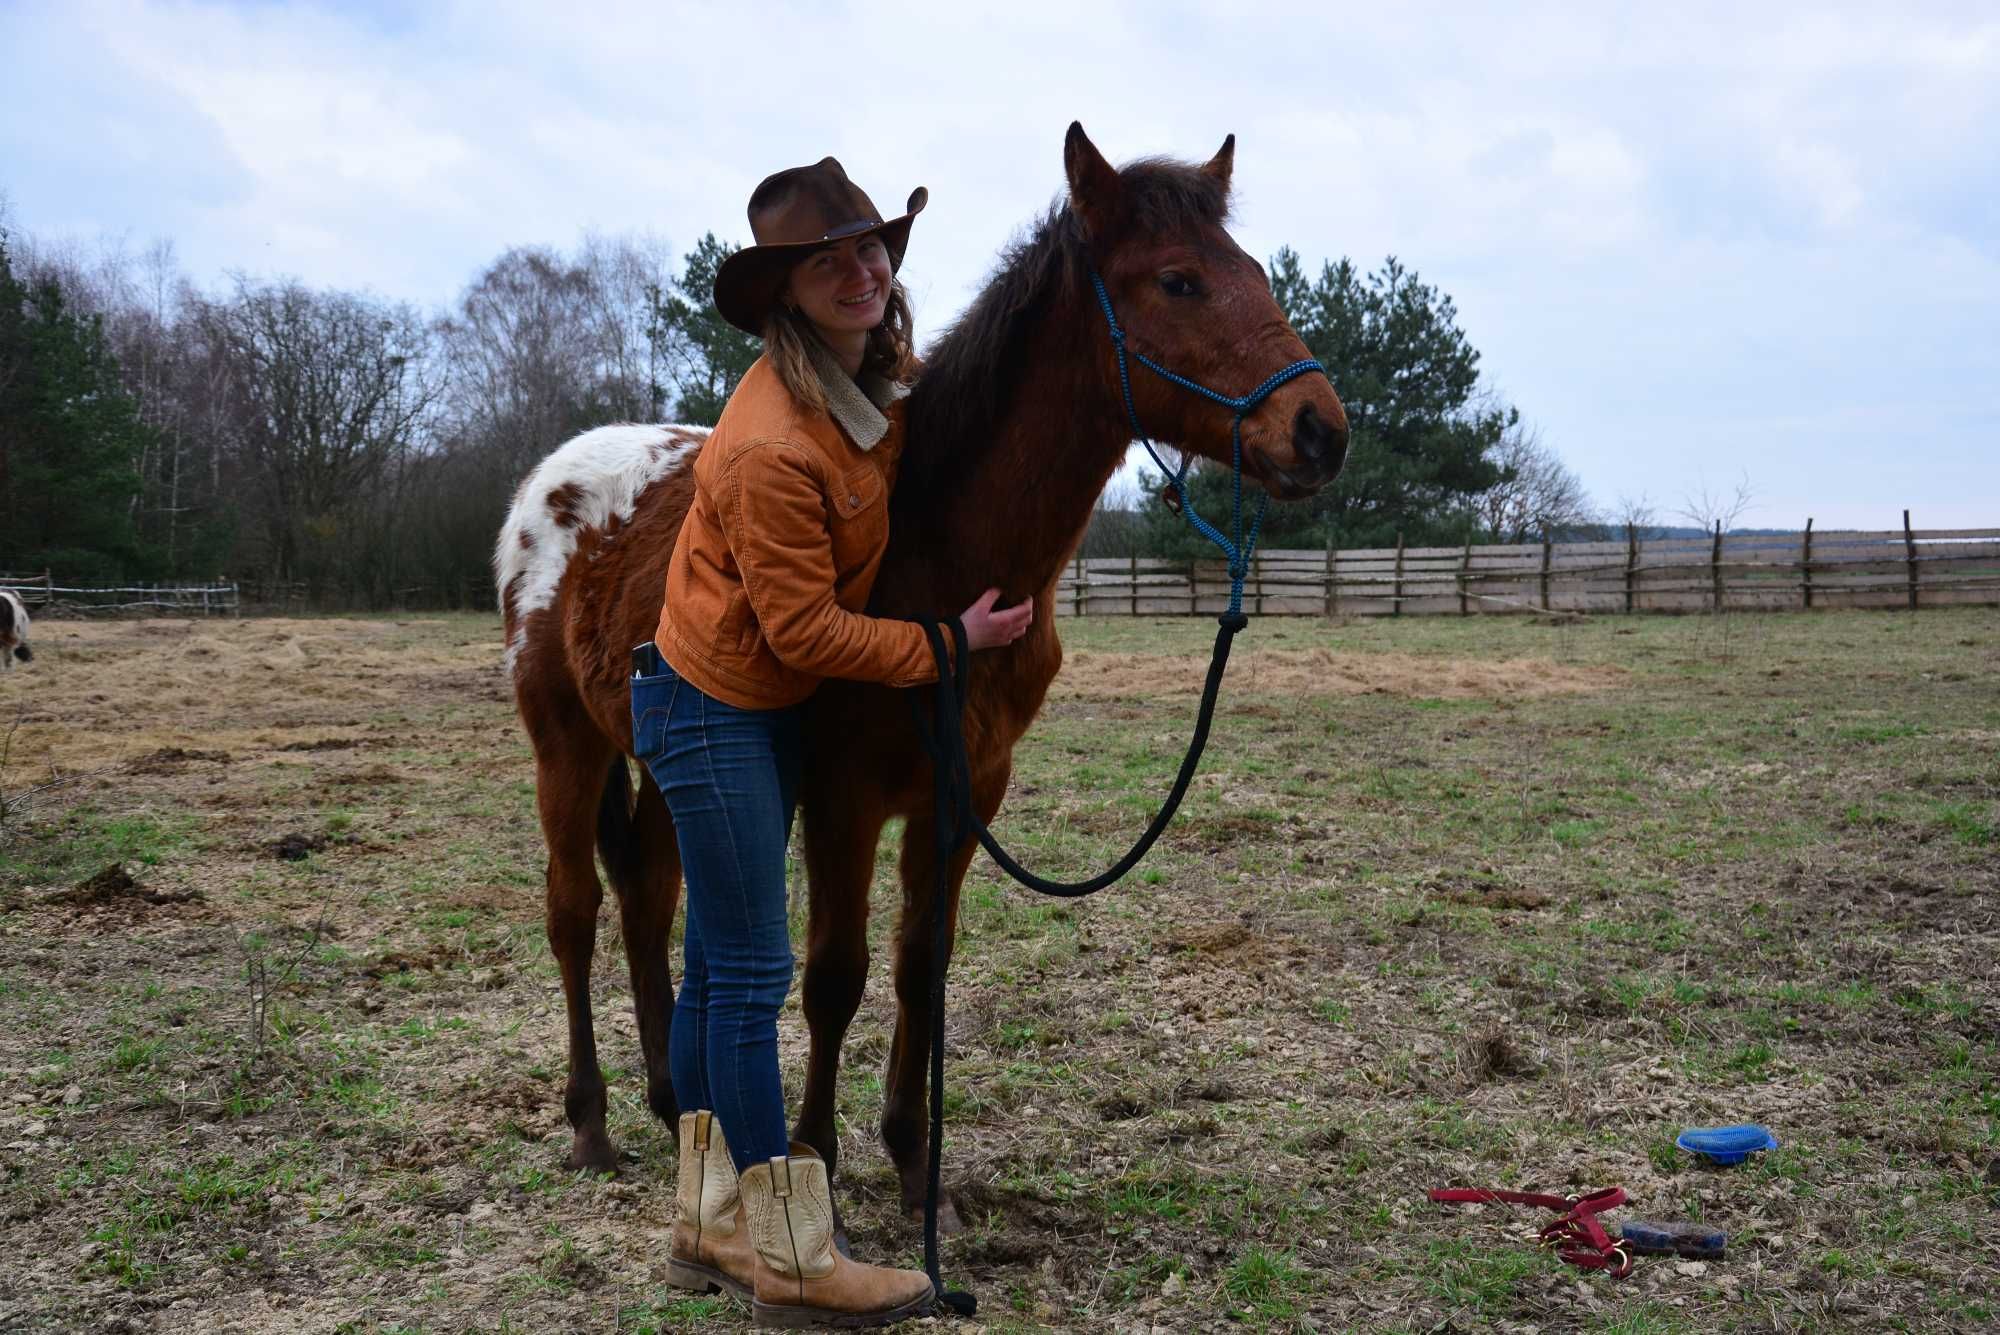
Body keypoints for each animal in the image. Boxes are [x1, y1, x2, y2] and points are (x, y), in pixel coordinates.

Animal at [492, 124, 1352, 1223]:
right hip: (567, 745)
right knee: (573, 913)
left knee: (646, 890)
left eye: (1251, 269)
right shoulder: (845, 798)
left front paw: (912, 1161)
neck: (935, 550)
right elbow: (834, 973)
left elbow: (919, 967)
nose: (1319, 430)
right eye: (1178, 280)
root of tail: (550, 482)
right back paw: (591, 1123)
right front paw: (814, 1154)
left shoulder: (962, 795)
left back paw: (673, 1100)